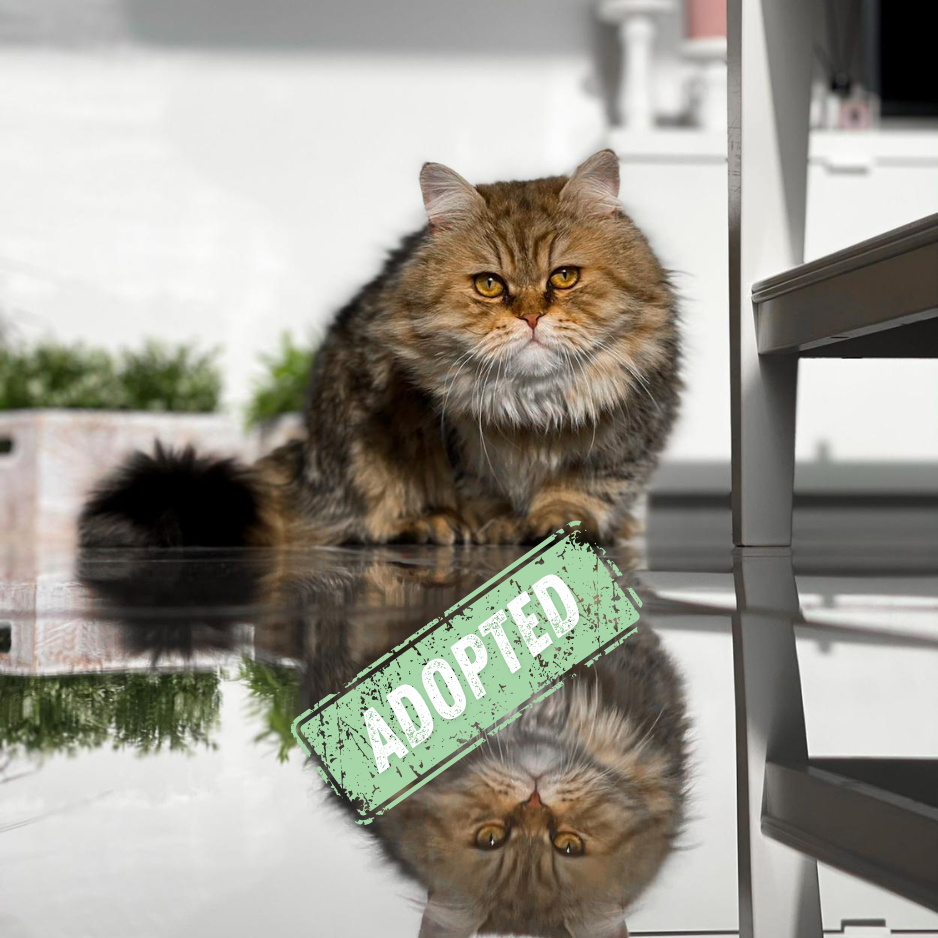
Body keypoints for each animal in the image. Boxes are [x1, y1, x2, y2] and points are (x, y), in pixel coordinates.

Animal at [79, 150, 680, 549]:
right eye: (489, 285)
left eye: (564, 276)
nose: (531, 316)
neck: (534, 408)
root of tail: (309, 470)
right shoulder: (453, 439)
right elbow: (484, 496)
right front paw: (500, 526)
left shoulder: (632, 430)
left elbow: (586, 487)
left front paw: (562, 519)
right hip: (361, 439)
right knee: (370, 523)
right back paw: (428, 525)